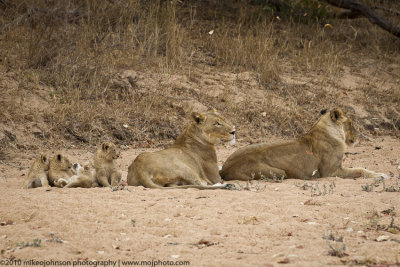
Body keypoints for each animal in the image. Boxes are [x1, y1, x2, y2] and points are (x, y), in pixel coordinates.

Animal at [220, 108, 390, 181]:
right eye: (351, 124)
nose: (358, 136)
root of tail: (225, 170)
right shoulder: (330, 171)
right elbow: (360, 169)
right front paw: (380, 175)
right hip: (280, 172)